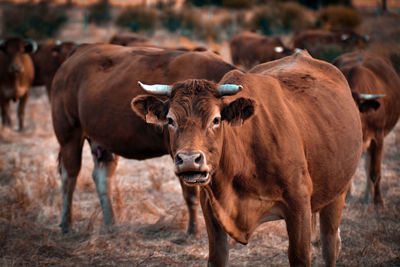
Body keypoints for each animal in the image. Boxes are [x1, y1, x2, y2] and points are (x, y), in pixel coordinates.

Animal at [50, 44, 238, 237]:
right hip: (69, 135)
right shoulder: (179, 155)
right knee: (69, 177)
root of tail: (79, 52)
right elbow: (191, 193)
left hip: (102, 142)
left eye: (215, 119)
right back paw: (67, 225)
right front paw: (193, 231)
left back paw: (111, 224)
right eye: (171, 120)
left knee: (102, 176)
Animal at [332, 52, 400, 207]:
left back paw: (367, 197)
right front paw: (347, 196)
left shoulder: (378, 138)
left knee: (368, 166)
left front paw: (378, 202)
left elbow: (375, 172)